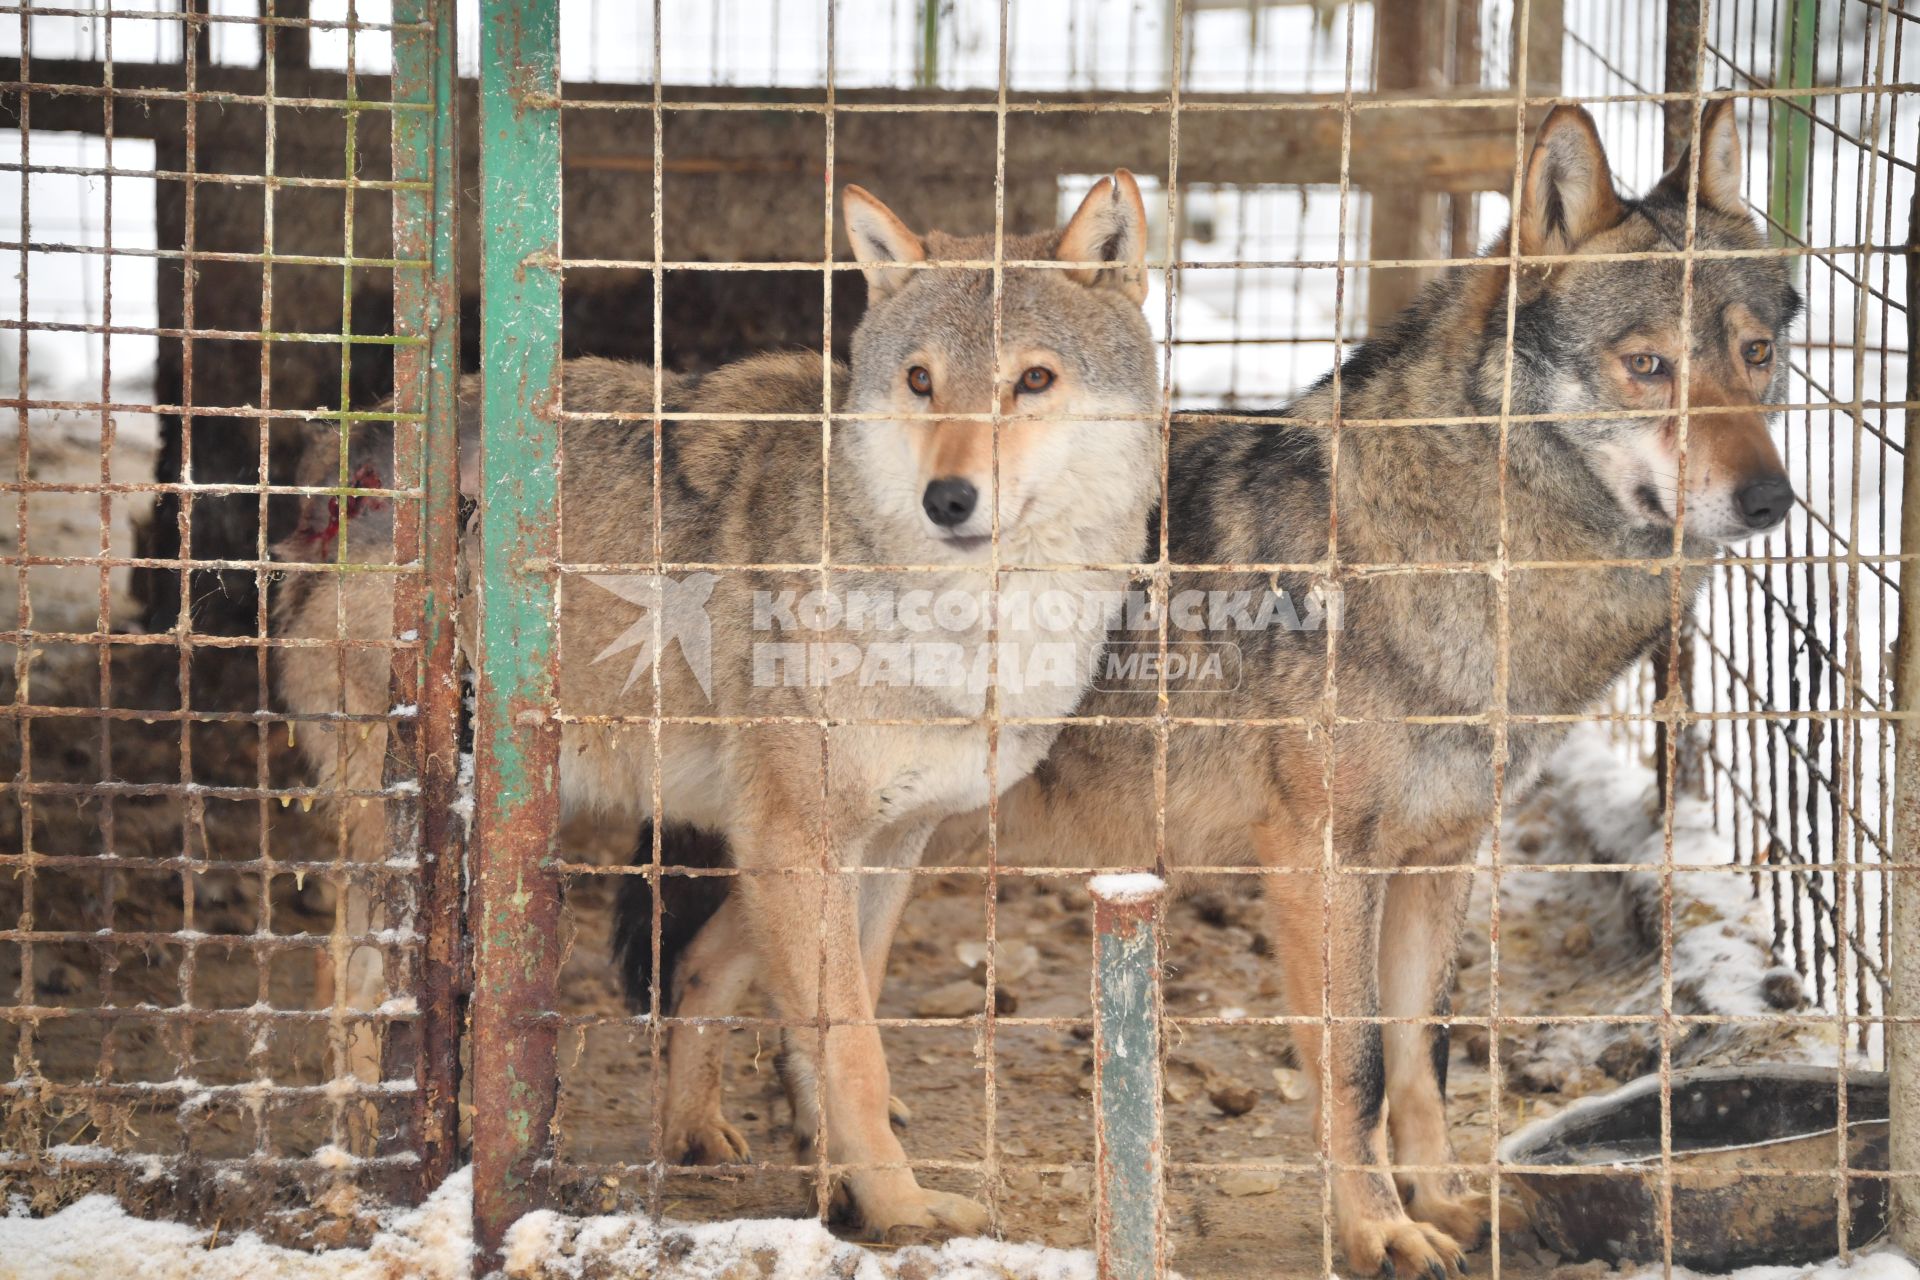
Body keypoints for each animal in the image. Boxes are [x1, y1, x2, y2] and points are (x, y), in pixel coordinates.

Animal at [625, 100, 1797, 1274]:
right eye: (1647, 364)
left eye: (1759, 355)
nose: (1774, 500)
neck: (1462, 556)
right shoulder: (1319, 864)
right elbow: (1358, 1068)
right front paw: (1378, 1227)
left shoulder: (1438, 860)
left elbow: (1423, 1057)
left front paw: (1446, 1202)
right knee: (730, 969)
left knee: (717, 966)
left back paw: (727, 1138)